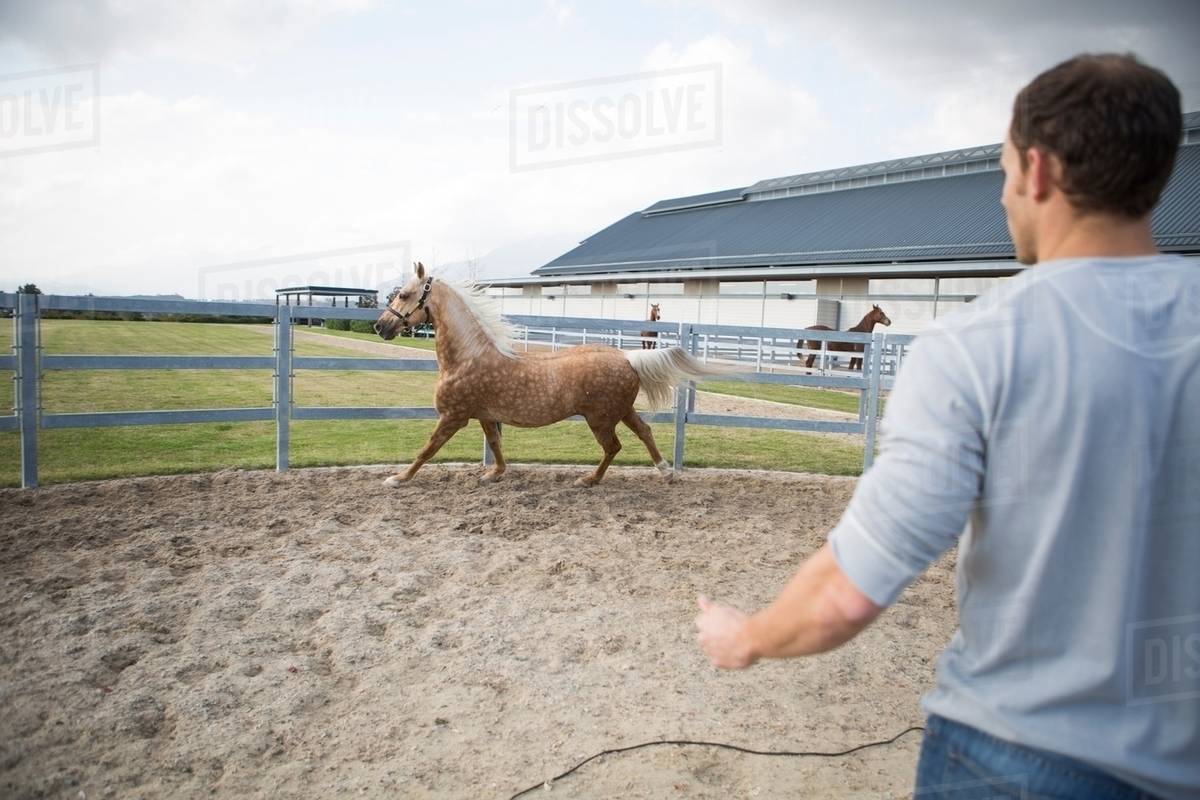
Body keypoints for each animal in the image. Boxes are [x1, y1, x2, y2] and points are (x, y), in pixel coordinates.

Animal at [374, 263, 729, 487]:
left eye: (403, 294)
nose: (380, 326)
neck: (467, 358)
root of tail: (627, 357)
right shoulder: (485, 415)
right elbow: (496, 445)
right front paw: (494, 475)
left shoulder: (454, 416)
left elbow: (427, 449)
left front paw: (398, 479)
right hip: (622, 411)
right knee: (644, 432)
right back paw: (666, 473)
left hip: (601, 419)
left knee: (613, 447)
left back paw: (589, 480)